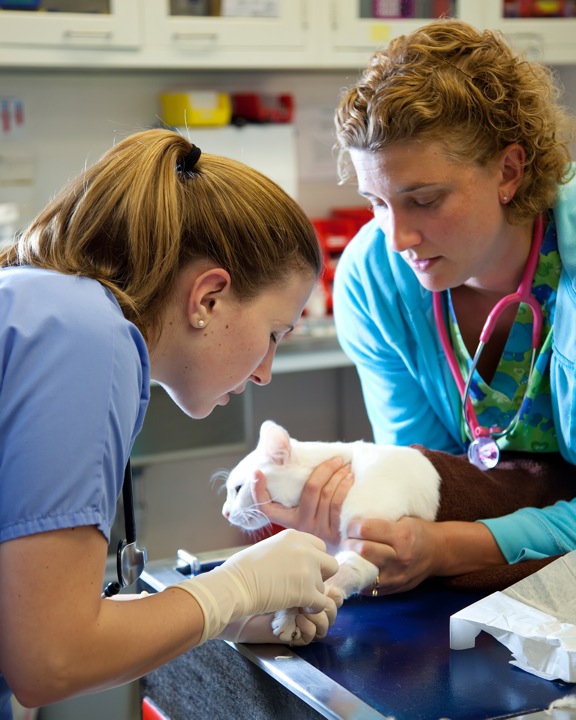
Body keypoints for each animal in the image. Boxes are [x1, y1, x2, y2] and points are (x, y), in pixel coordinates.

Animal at [220, 420, 440, 644]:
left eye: (238, 489)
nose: (225, 513)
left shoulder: (367, 552)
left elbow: (335, 576)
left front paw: (292, 618)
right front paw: (289, 615)